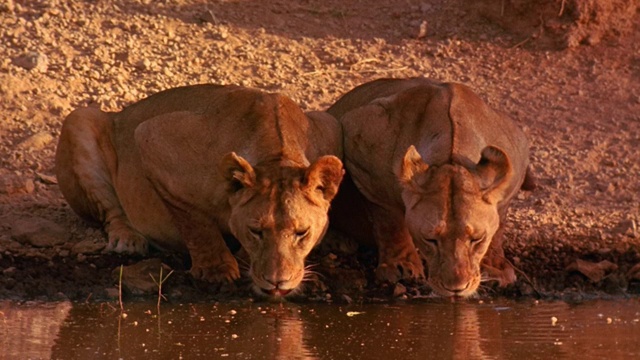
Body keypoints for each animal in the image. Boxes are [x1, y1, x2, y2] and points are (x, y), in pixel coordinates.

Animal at [55, 85, 344, 298]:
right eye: (256, 231)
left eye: (302, 232)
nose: (276, 282)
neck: (276, 152)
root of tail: (120, 112)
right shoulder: (151, 137)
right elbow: (195, 221)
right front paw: (216, 269)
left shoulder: (330, 125)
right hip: (79, 118)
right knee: (112, 211)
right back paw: (127, 239)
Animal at [328, 77, 532, 296]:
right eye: (430, 239)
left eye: (477, 239)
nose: (456, 288)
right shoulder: (360, 145)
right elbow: (389, 221)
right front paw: (401, 266)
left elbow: (498, 227)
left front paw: (495, 269)